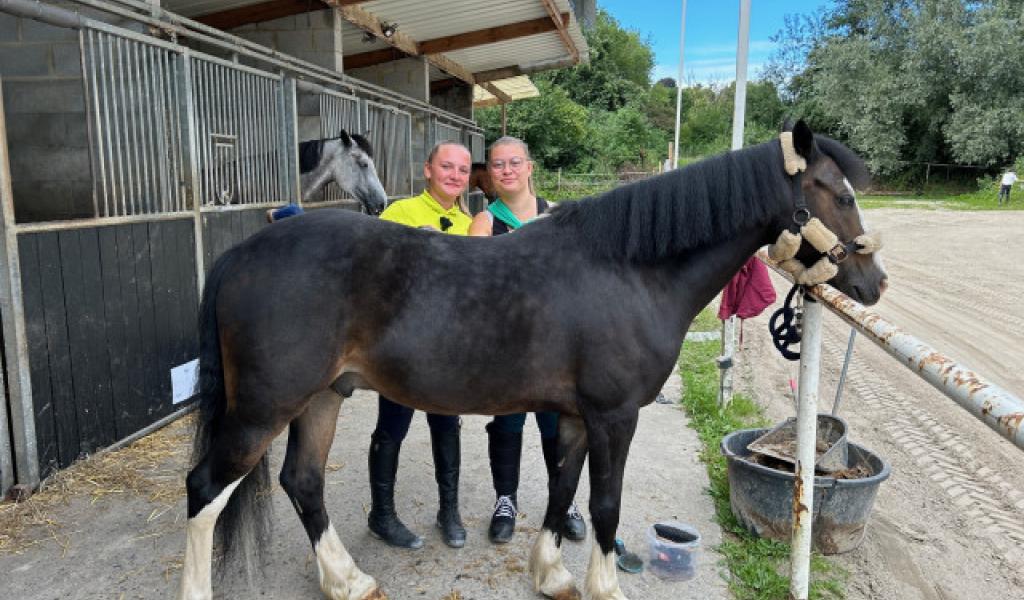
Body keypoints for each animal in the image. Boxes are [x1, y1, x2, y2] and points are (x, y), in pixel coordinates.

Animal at [180, 121, 884, 597]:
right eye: (840, 194)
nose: (875, 283)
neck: (631, 270)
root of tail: (240, 254)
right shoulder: (614, 417)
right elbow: (604, 506)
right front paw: (603, 586)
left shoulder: (574, 417)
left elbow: (562, 488)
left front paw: (551, 576)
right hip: (263, 409)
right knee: (206, 489)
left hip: (324, 396)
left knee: (303, 482)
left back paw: (349, 581)